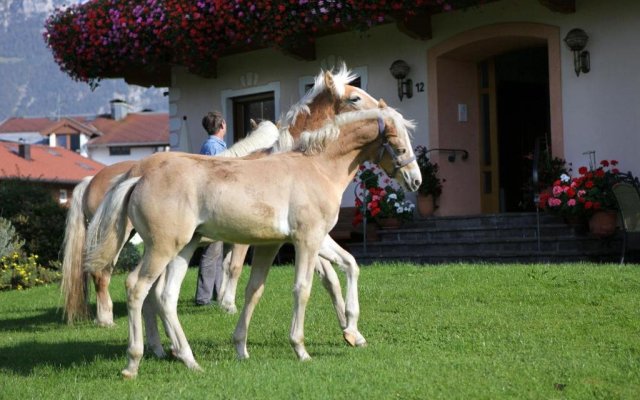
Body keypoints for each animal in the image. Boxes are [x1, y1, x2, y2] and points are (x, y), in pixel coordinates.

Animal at [82, 104, 422, 378]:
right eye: (399, 145)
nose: (416, 180)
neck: (318, 167)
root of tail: (138, 176)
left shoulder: (282, 243)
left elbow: (266, 287)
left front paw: (351, 333)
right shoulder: (307, 239)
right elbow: (302, 289)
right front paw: (301, 349)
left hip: (183, 248)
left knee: (165, 296)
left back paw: (189, 360)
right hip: (162, 248)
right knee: (137, 288)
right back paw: (133, 363)